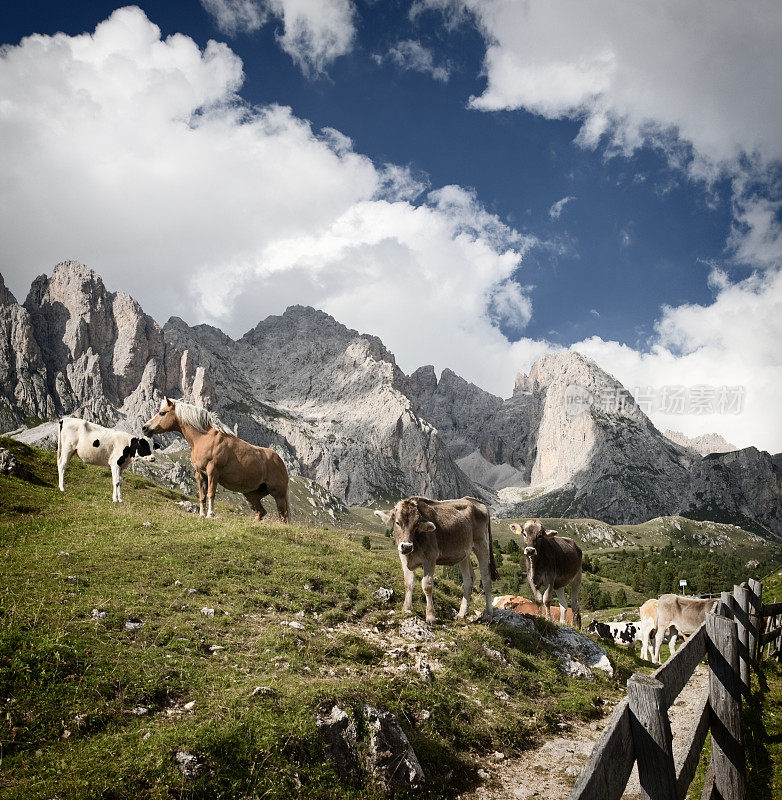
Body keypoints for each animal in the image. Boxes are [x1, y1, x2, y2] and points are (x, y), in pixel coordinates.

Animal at [142, 396, 290, 520]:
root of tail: (280, 461)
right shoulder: (200, 474)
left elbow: (210, 493)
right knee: (261, 512)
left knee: (283, 516)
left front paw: (210, 514)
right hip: (251, 495)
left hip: (279, 494)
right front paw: (201, 514)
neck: (203, 438)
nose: (145, 428)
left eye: (162, 413)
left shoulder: (213, 472)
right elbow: (202, 496)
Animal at [376, 494, 500, 624]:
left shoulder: (430, 557)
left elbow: (427, 585)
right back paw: (461, 614)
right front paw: (406, 608)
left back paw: (488, 615)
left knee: (486, 579)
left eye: (416, 525)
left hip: (482, 544)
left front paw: (431, 616)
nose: (407, 546)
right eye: (397, 522)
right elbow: (408, 583)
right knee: (468, 580)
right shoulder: (404, 558)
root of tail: (474, 500)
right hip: (464, 552)